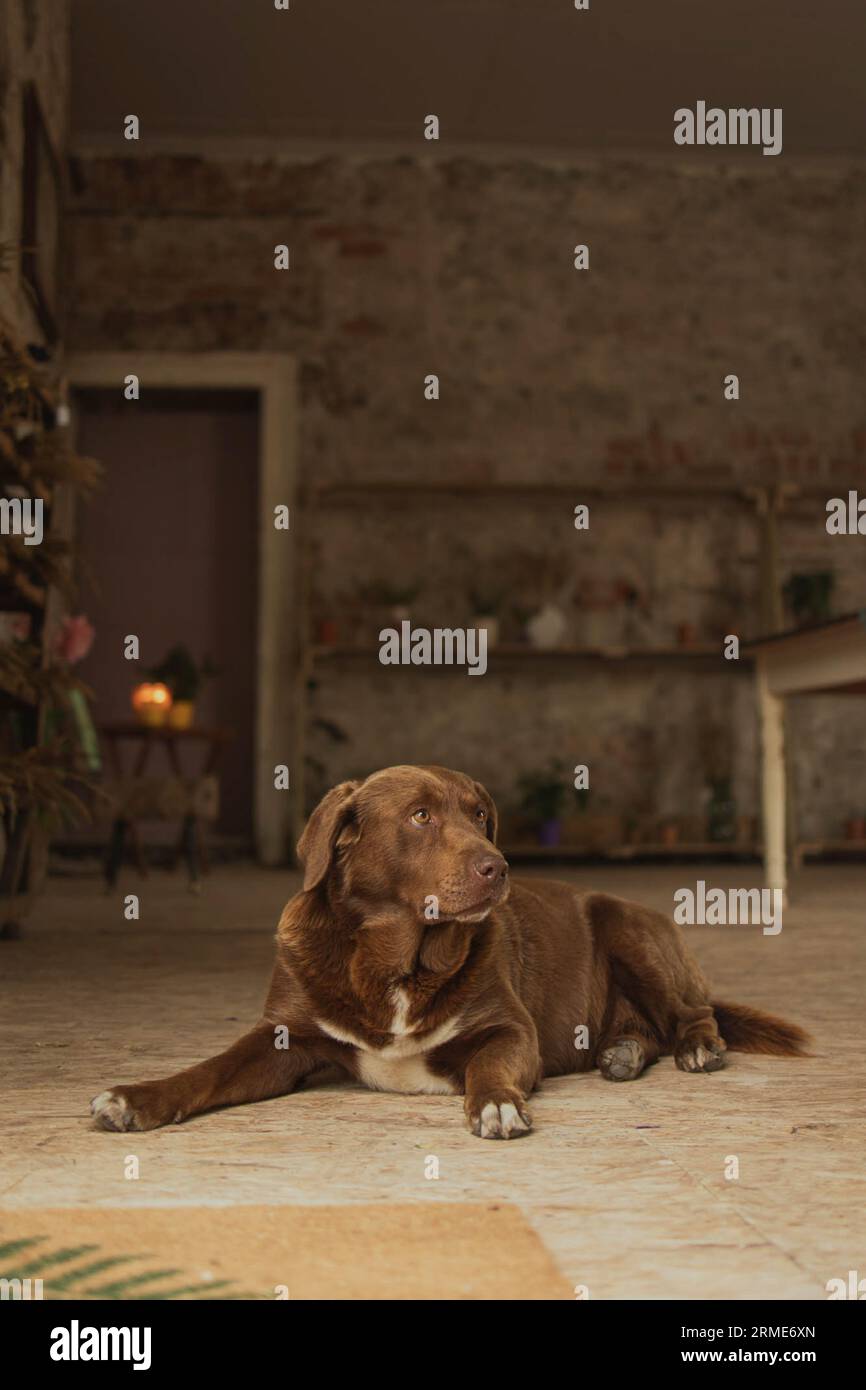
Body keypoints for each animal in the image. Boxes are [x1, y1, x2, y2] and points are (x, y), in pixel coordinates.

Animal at [91, 761, 811, 1139]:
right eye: (420, 816)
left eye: (481, 816)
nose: (499, 866)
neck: (394, 962)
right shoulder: (280, 1038)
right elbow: (207, 1071)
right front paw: (136, 1098)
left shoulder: (509, 1031)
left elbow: (490, 1066)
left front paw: (496, 1104)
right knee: (646, 1029)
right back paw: (624, 1052)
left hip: (627, 926)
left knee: (692, 1014)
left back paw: (694, 1047)